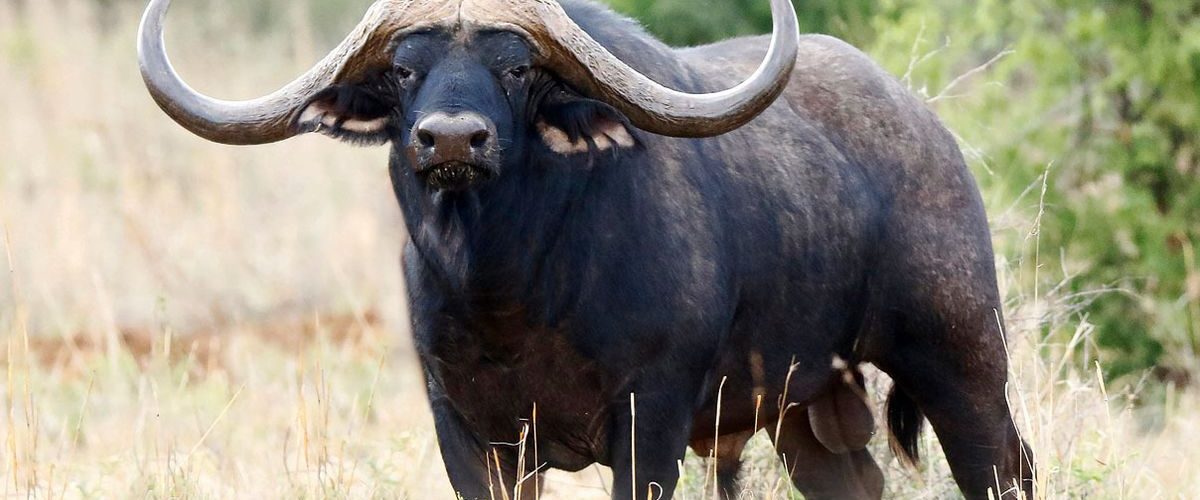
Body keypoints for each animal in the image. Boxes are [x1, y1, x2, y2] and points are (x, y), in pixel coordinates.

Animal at [137, 0, 1035, 498]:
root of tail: (929, 129)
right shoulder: (473, 440)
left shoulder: (651, 426)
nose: (451, 139)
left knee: (1005, 468)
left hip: (961, 361)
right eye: (401, 70)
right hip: (805, 412)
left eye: (517, 67)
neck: (513, 293)